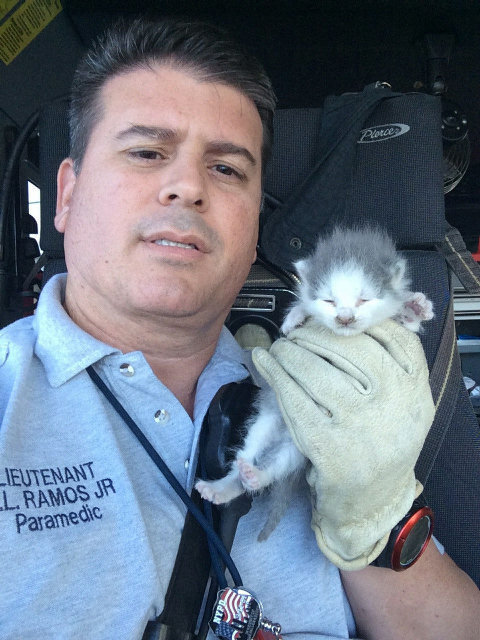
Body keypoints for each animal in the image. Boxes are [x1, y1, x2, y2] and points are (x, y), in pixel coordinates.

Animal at [193, 228, 434, 536]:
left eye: (364, 299)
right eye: (329, 301)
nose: (345, 318)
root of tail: (285, 434)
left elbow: (409, 323)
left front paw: (415, 306)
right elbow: (293, 323)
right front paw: (295, 316)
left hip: (302, 448)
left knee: (278, 466)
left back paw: (255, 477)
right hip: (270, 418)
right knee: (250, 449)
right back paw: (227, 484)